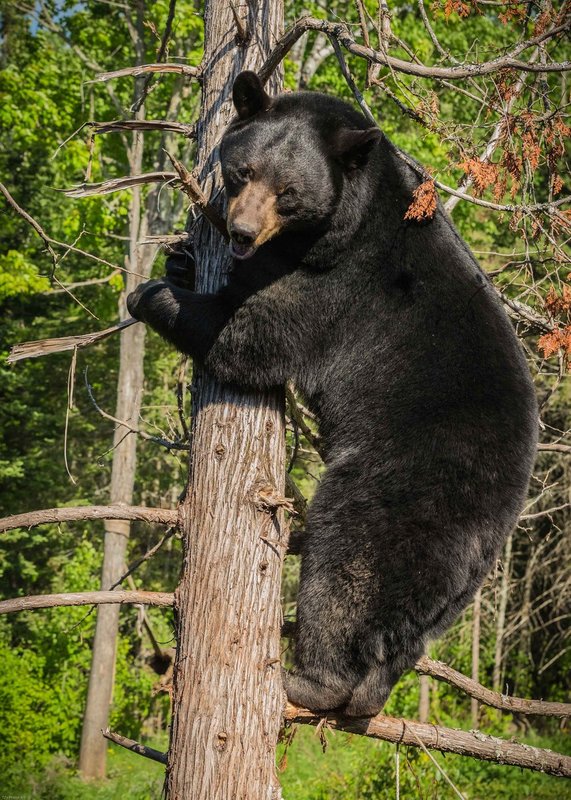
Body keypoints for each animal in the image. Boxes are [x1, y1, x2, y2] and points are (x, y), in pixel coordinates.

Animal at [127, 71, 538, 717]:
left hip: (399, 489)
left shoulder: (338, 285)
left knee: (347, 567)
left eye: (288, 192)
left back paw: (305, 680)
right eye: (243, 171)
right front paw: (180, 262)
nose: (240, 232)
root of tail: (496, 527)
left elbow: (249, 339)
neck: (354, 209)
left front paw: (149, 293)